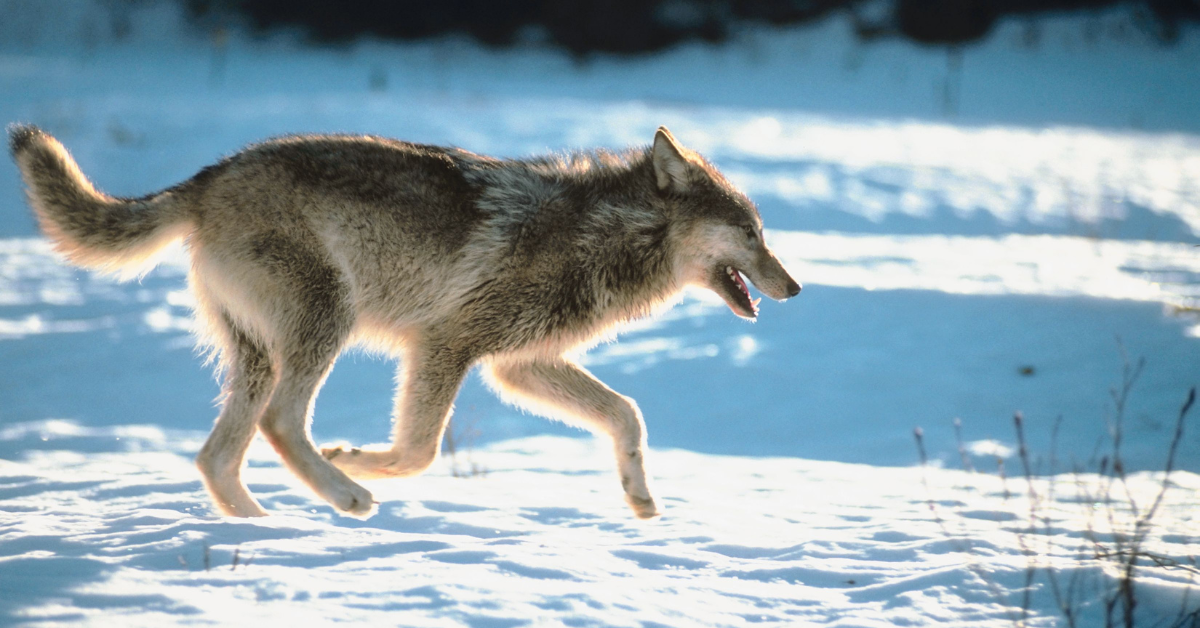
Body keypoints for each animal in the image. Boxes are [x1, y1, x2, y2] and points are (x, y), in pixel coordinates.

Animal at [9, 123, 800, 519]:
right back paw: (346, 495)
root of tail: (205, 179)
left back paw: (265, 528)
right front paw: (360, 460)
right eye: (752, 234)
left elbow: (627, 414)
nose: (794, 287)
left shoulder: (518, 366)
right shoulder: (447, 345)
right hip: (323, 324)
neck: (606, 233)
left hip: (259, 355)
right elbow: (419, 451)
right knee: (280, 424)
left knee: (216, 456)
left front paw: (640, 498)